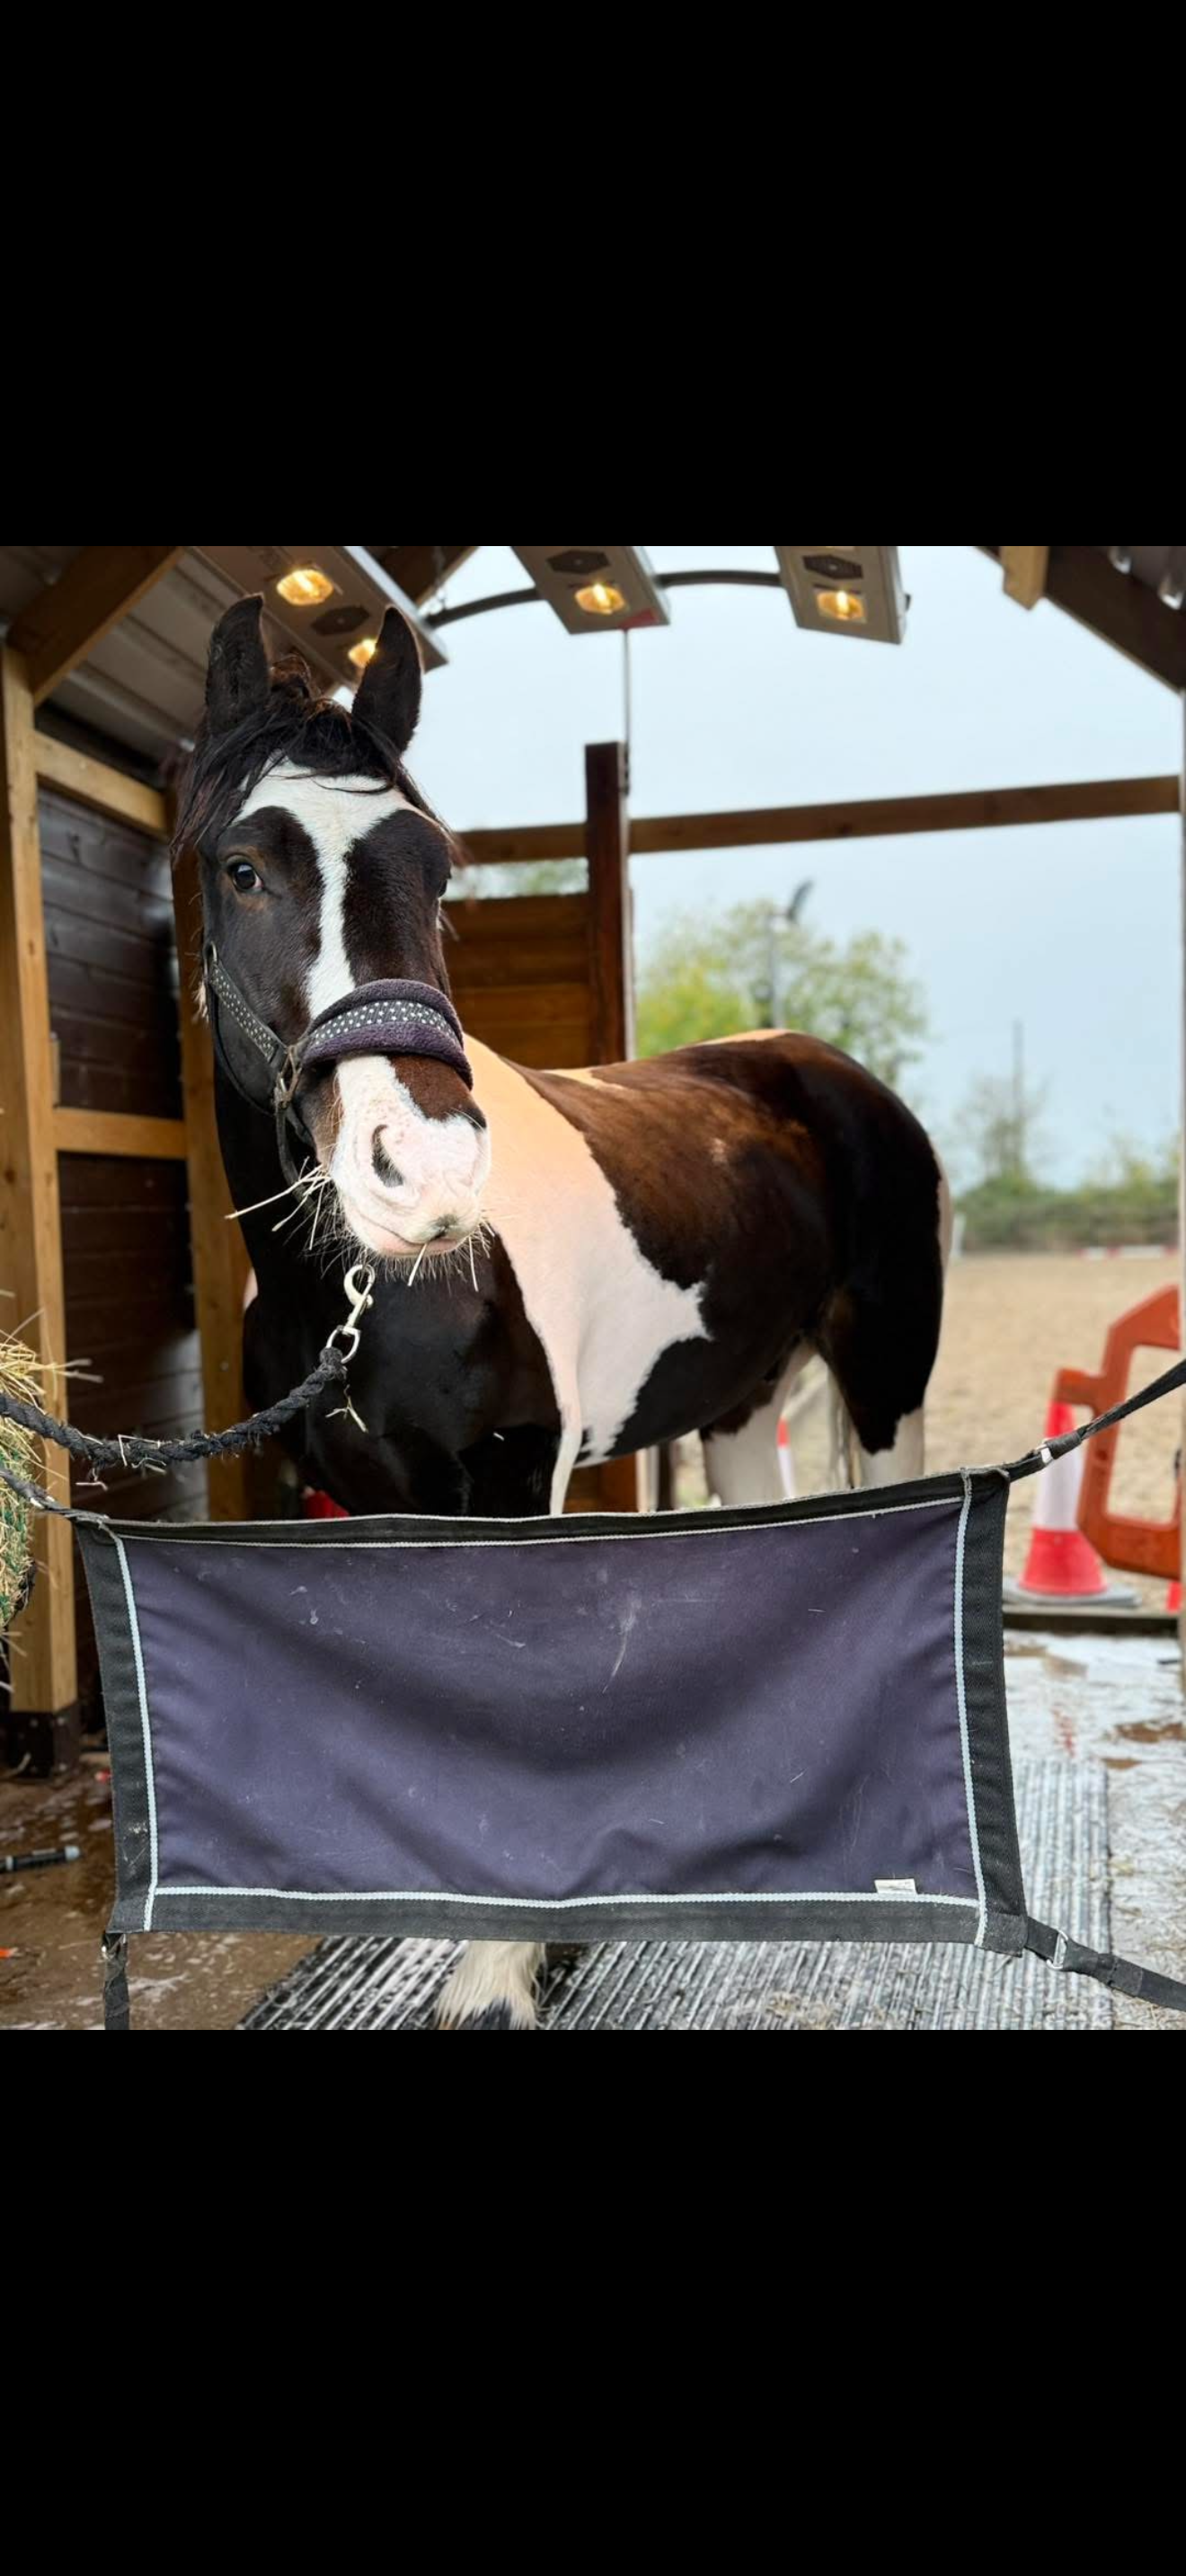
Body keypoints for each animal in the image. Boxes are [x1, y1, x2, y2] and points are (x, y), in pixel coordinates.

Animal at [174, 595, 950, 2031]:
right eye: (243, 868)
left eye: (435, 872)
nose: (425, 1174)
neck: (361, 1295)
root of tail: (827, 1072)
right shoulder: (355, 1498)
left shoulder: (511, 1475)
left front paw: (498, 1970)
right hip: (737, 1406)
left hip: (885, 1381)